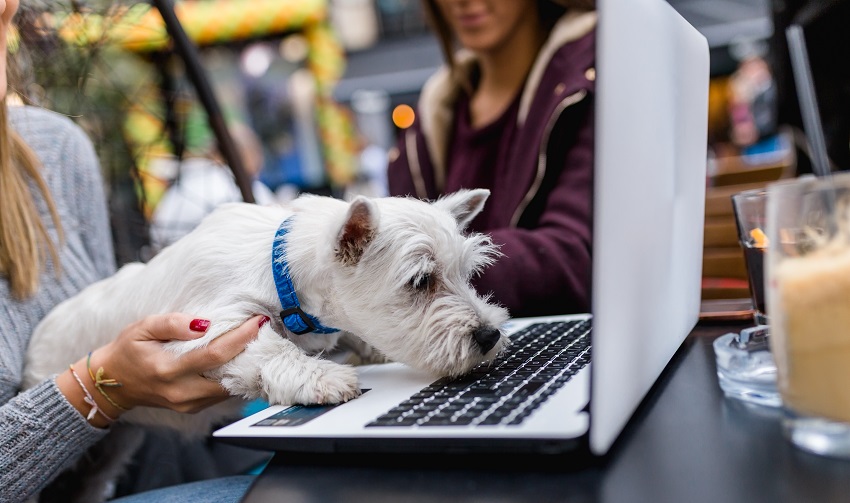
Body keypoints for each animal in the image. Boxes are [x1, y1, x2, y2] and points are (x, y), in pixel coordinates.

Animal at [23, 189, 506, 434]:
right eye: (420, 281)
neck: (284, 275)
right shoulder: (205, 327)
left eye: (467, 273)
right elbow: (270, 346)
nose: (489, 336)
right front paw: (323, 377)